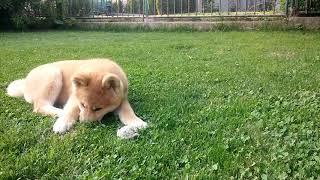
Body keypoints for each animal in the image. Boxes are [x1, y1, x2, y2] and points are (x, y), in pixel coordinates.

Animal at [6, 58, 148, 139]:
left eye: (98, 109)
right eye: (83, 105)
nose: (85, 123)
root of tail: (25, 82)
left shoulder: (122, 100)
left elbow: (128, 113)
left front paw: (137, 123)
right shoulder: (74, 98)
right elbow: (71, 110)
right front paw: (63, 123)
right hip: (53, 74)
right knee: (40, 105)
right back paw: (60, 112)